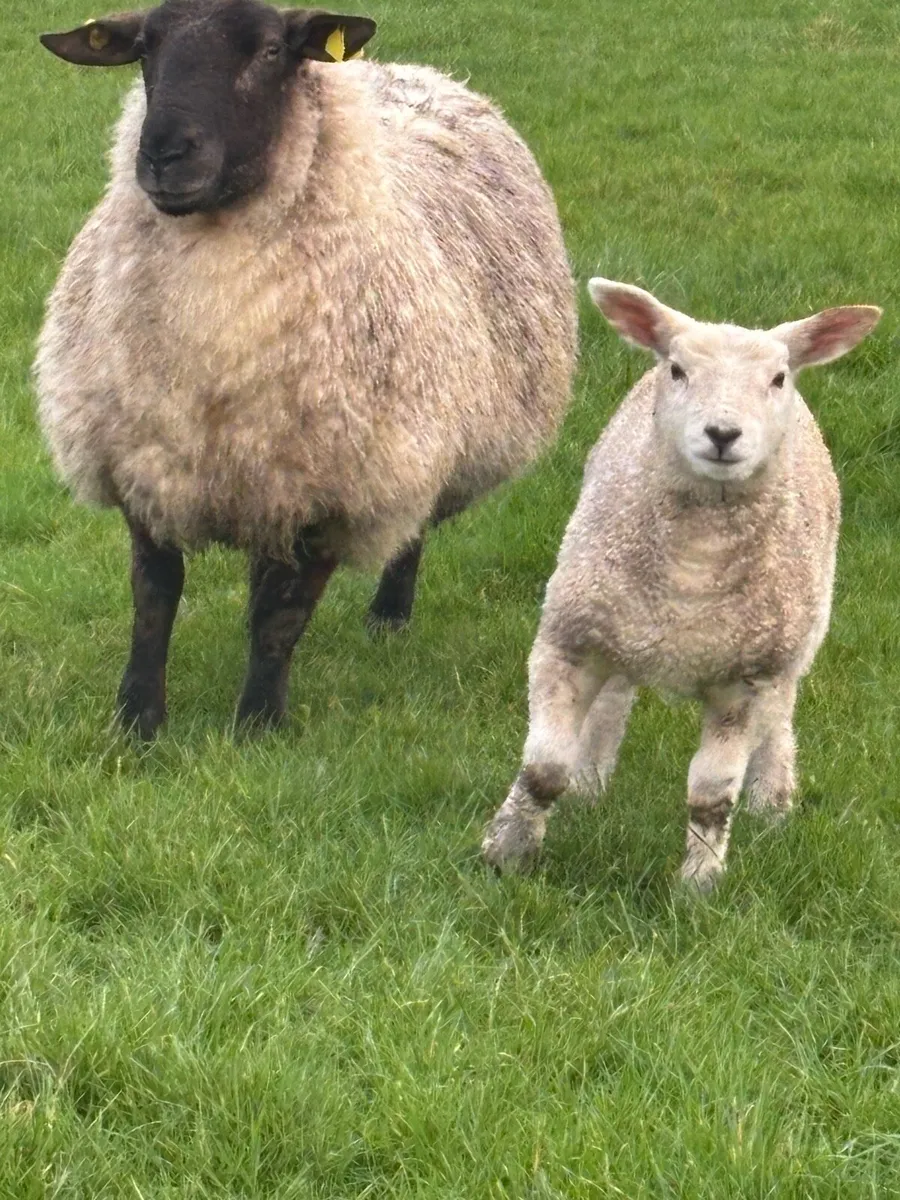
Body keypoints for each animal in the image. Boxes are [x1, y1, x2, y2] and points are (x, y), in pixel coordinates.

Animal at [35, 0, 577, 739]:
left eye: (271, 51)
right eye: (145, 48)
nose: (164, 154)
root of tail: (412, 71)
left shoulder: (334, 485)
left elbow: (280, 619)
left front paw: (257, 726)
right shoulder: (144, 463)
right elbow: (154, 601)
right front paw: (138, 722)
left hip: (417, 441)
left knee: (402, 535)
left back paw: (388, 618)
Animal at [482, 279, 880, 889]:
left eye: (777, 378)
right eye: (677, 370)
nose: (722, 434)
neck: (694, 569)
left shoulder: (743, 681)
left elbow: (712, 795)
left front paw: (699, 883)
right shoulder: (566, 641)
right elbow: (544, 767)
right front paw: (508, 850)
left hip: (793, 638)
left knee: (780, 718)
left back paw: (772, 802)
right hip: (616, 621)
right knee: (615, 697)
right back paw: (591, 782)